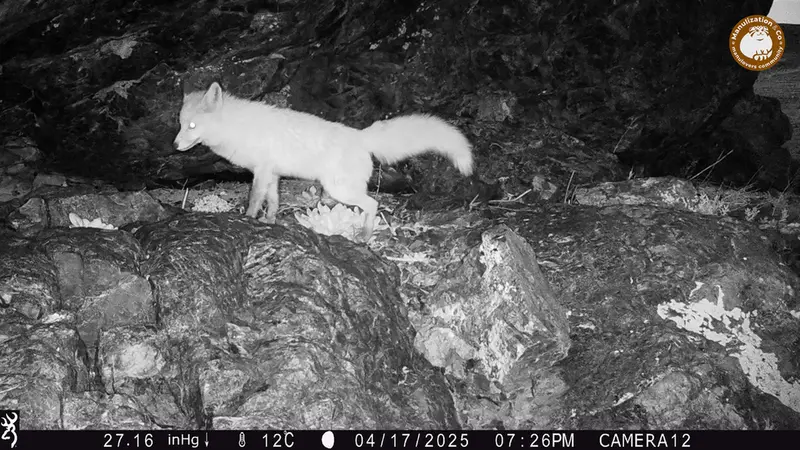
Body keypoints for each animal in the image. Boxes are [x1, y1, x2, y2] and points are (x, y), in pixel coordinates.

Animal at [173, 82, 474, 242]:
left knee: (372, 204)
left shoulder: (261, 171)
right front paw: (269, 222)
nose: (175, 146)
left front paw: (248, 220)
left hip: (338, 189)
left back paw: (364, 236)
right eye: (180, 124)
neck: (239, 128)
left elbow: (255, 200)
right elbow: (273, 202)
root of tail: (360, 136)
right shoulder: (272, 174)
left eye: (192, 126)